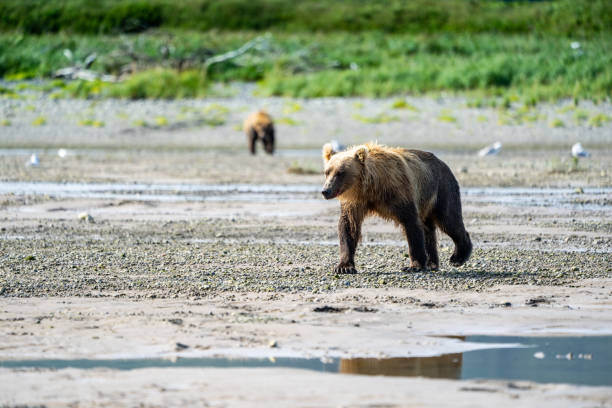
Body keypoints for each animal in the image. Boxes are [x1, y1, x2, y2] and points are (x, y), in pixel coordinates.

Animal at [320, 143, 474, 274]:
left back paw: (458, 257)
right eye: (327, 172)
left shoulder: (399, 192)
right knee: (429, 229)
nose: (325, 191)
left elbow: (411, 224)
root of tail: (443, 163)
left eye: (340, 172)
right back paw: (432, 263)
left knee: (449, 220)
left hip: (441, 189)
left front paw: (414, 265)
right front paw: (344, 267)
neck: (371, 188)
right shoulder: (355, 202)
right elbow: (348, 226)